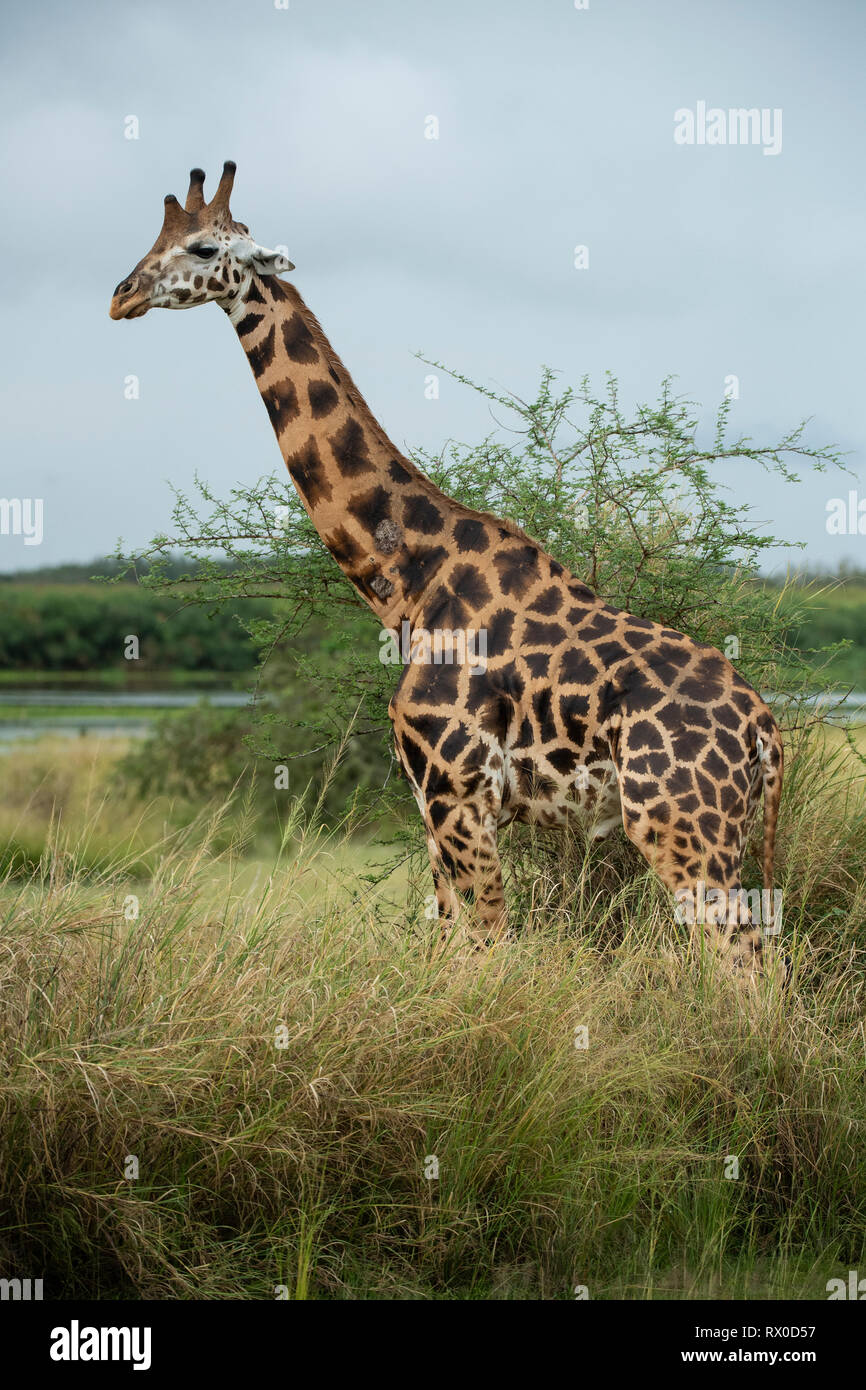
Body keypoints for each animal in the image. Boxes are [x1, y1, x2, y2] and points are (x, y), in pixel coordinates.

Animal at [109, 159, 783, 978]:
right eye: (155, 241)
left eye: (204, 248)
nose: (121, 295)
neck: (407, 579)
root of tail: (766, 732)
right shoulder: (431, 801)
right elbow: (447, 942)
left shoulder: (459, 794)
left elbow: (485, 944)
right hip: (721, 832)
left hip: (681, 826)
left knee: (745, 966)